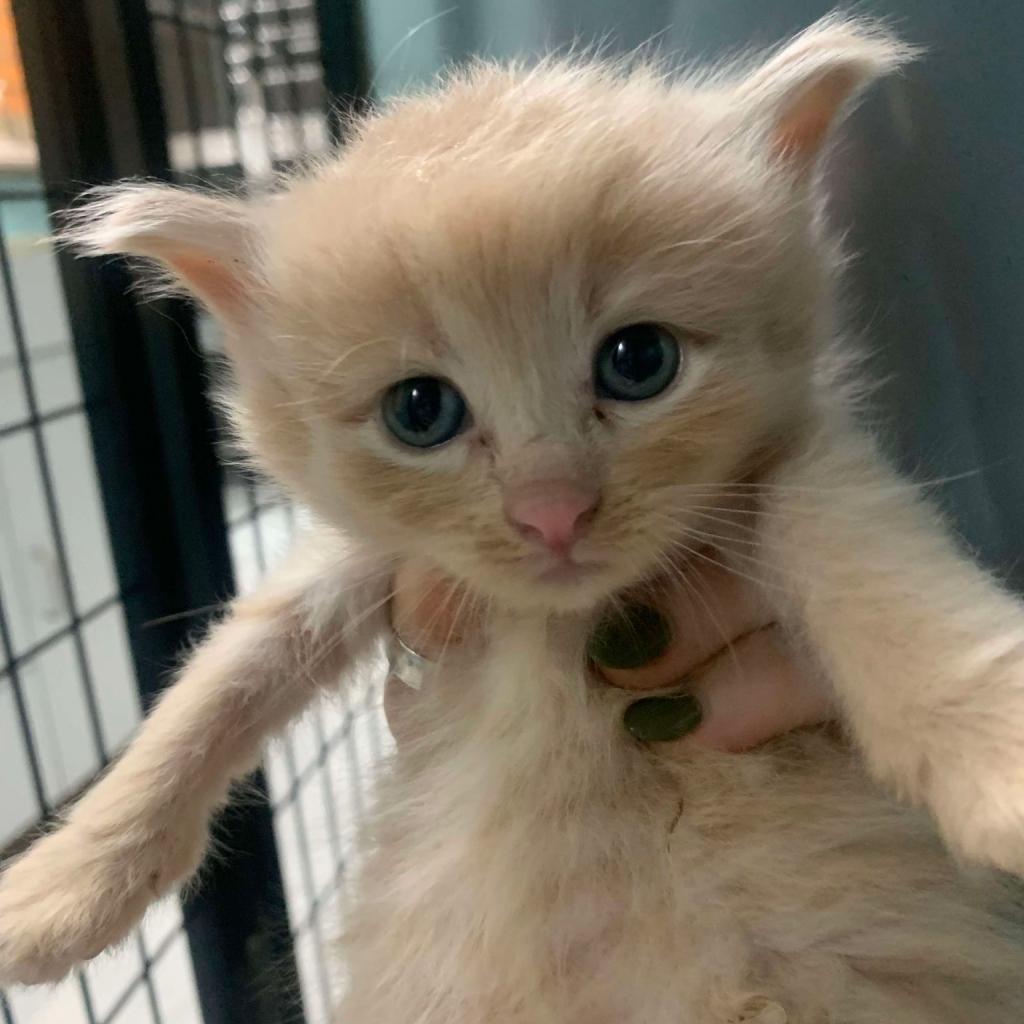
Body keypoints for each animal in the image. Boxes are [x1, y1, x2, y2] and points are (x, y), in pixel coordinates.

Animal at [2, 16, 1024, 1024]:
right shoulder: (366, 559)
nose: (552, 513)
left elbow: (863, 554)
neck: (561, 634)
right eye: (420, 411)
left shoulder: (802, 464)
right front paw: (65, 885)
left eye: (639, 361)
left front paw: (991, 747)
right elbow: (225, 673)